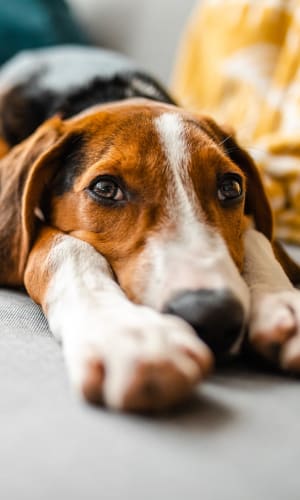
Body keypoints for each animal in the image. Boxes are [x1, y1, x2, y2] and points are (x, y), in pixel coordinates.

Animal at [0, 45, 300, 412]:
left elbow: (256, 235)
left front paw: (279, 298)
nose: (212, 315)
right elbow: (64, 247)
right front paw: (128, 333)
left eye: (231, 187)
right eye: (105, 188)